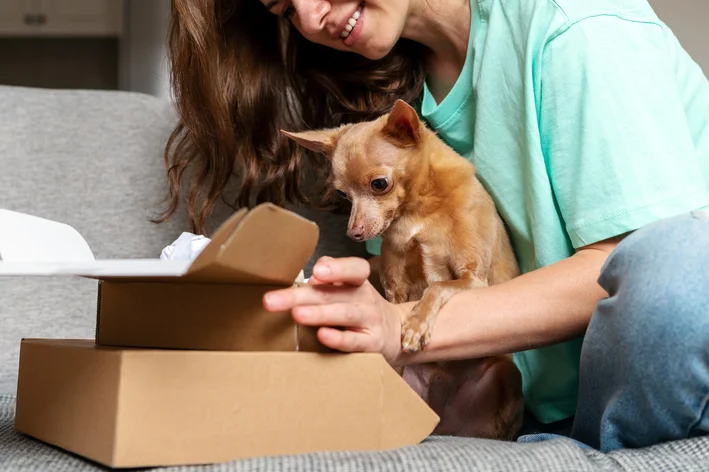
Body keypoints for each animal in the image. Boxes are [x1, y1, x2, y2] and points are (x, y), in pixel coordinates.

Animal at [280, 99, 524, 438]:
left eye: (379, 184)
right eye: (342, 194)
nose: (354, 233)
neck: (416, 212)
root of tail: (445, 427)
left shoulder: (474, 279)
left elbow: (438, 286)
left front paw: (415, 326)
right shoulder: (395, 288)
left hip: (506, 374)